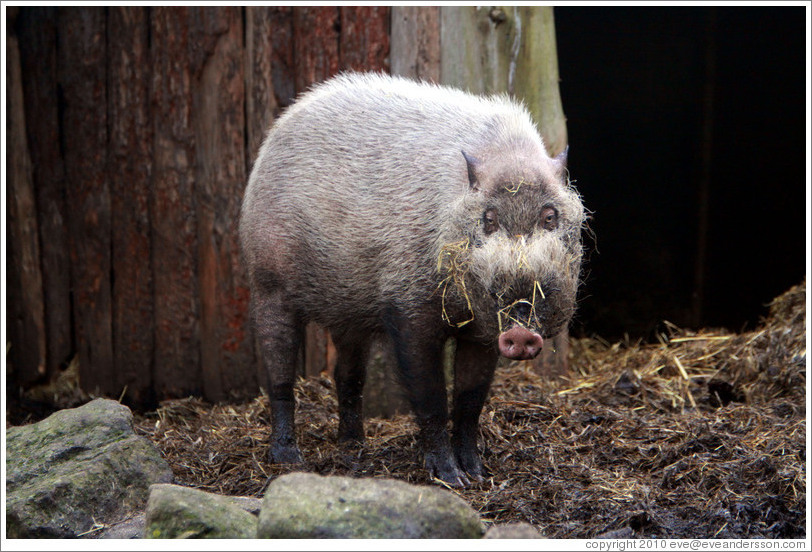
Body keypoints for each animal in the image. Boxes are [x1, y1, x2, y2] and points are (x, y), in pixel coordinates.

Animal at [240, 72, 585, 487]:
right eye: (488, 219)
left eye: (550, 217)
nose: (521, 333)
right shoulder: (408, 309)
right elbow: (431, 396)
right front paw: (451, 480)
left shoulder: (481, 332)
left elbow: (469, 401)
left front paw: (477, 475)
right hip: (267, 280)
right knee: (280, 374)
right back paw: (289, 459)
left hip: (348, 312)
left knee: (347, 377)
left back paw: (354, 452)